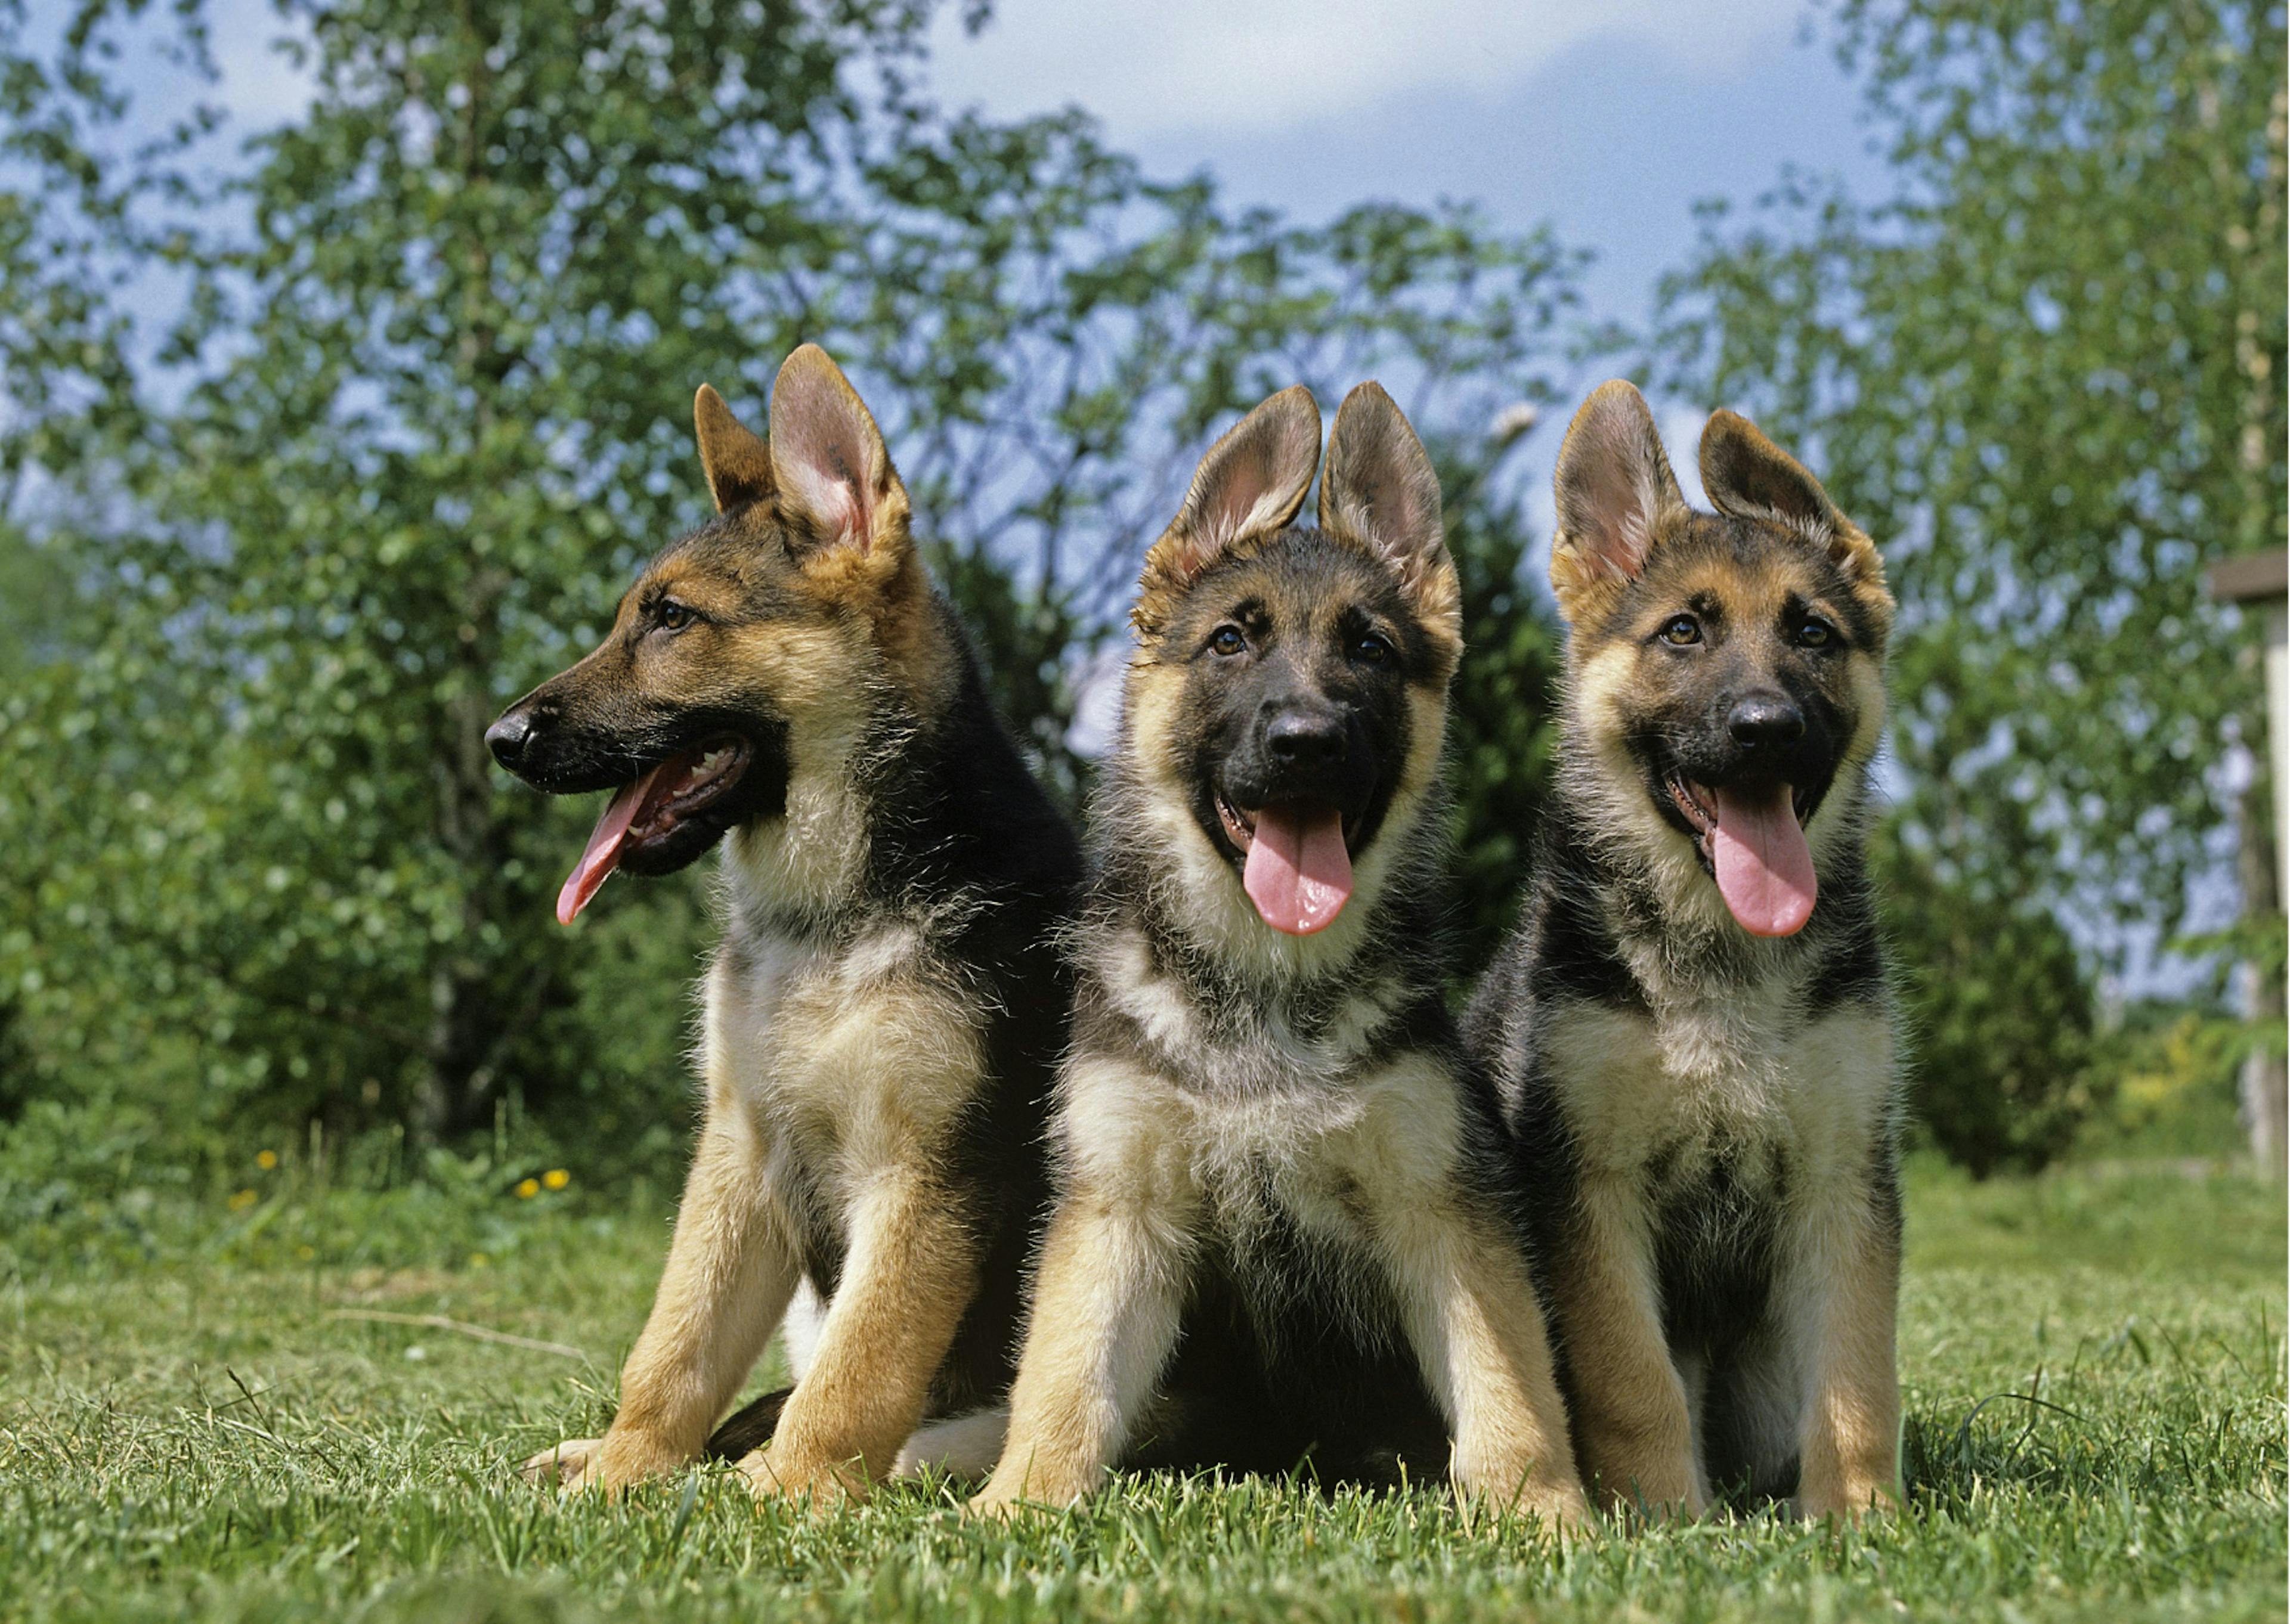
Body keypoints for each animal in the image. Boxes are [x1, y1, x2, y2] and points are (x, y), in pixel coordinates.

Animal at [492, 348, 1081, 1502]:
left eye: (672, 619)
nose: (500, 737)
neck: (833, 914)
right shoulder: (738, 1152)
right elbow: (674, 1345)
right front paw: (624, 1468)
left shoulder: (929, 1177)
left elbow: (863, 1361)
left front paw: (784, 1492)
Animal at [971, 380, 1593, 1521]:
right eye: (1231, 642)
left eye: (1371, 650)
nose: (1306, 742)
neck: (1268, 986)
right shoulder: (1119, 1213)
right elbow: (1065, 1377)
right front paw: (1021, 1501)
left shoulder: (1447, 1212)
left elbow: (1508, 1381)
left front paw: (1540, 1509)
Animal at [1465, 380, 1896, 1521]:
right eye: (1685, 632)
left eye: (1813, 633)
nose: (1767, 726)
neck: (1722, 951)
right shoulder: (1591, 1191)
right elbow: (1633, 1376)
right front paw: (1662, 1516)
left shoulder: (1846, 1180)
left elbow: (1855, 1379)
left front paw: (1861, 1519)